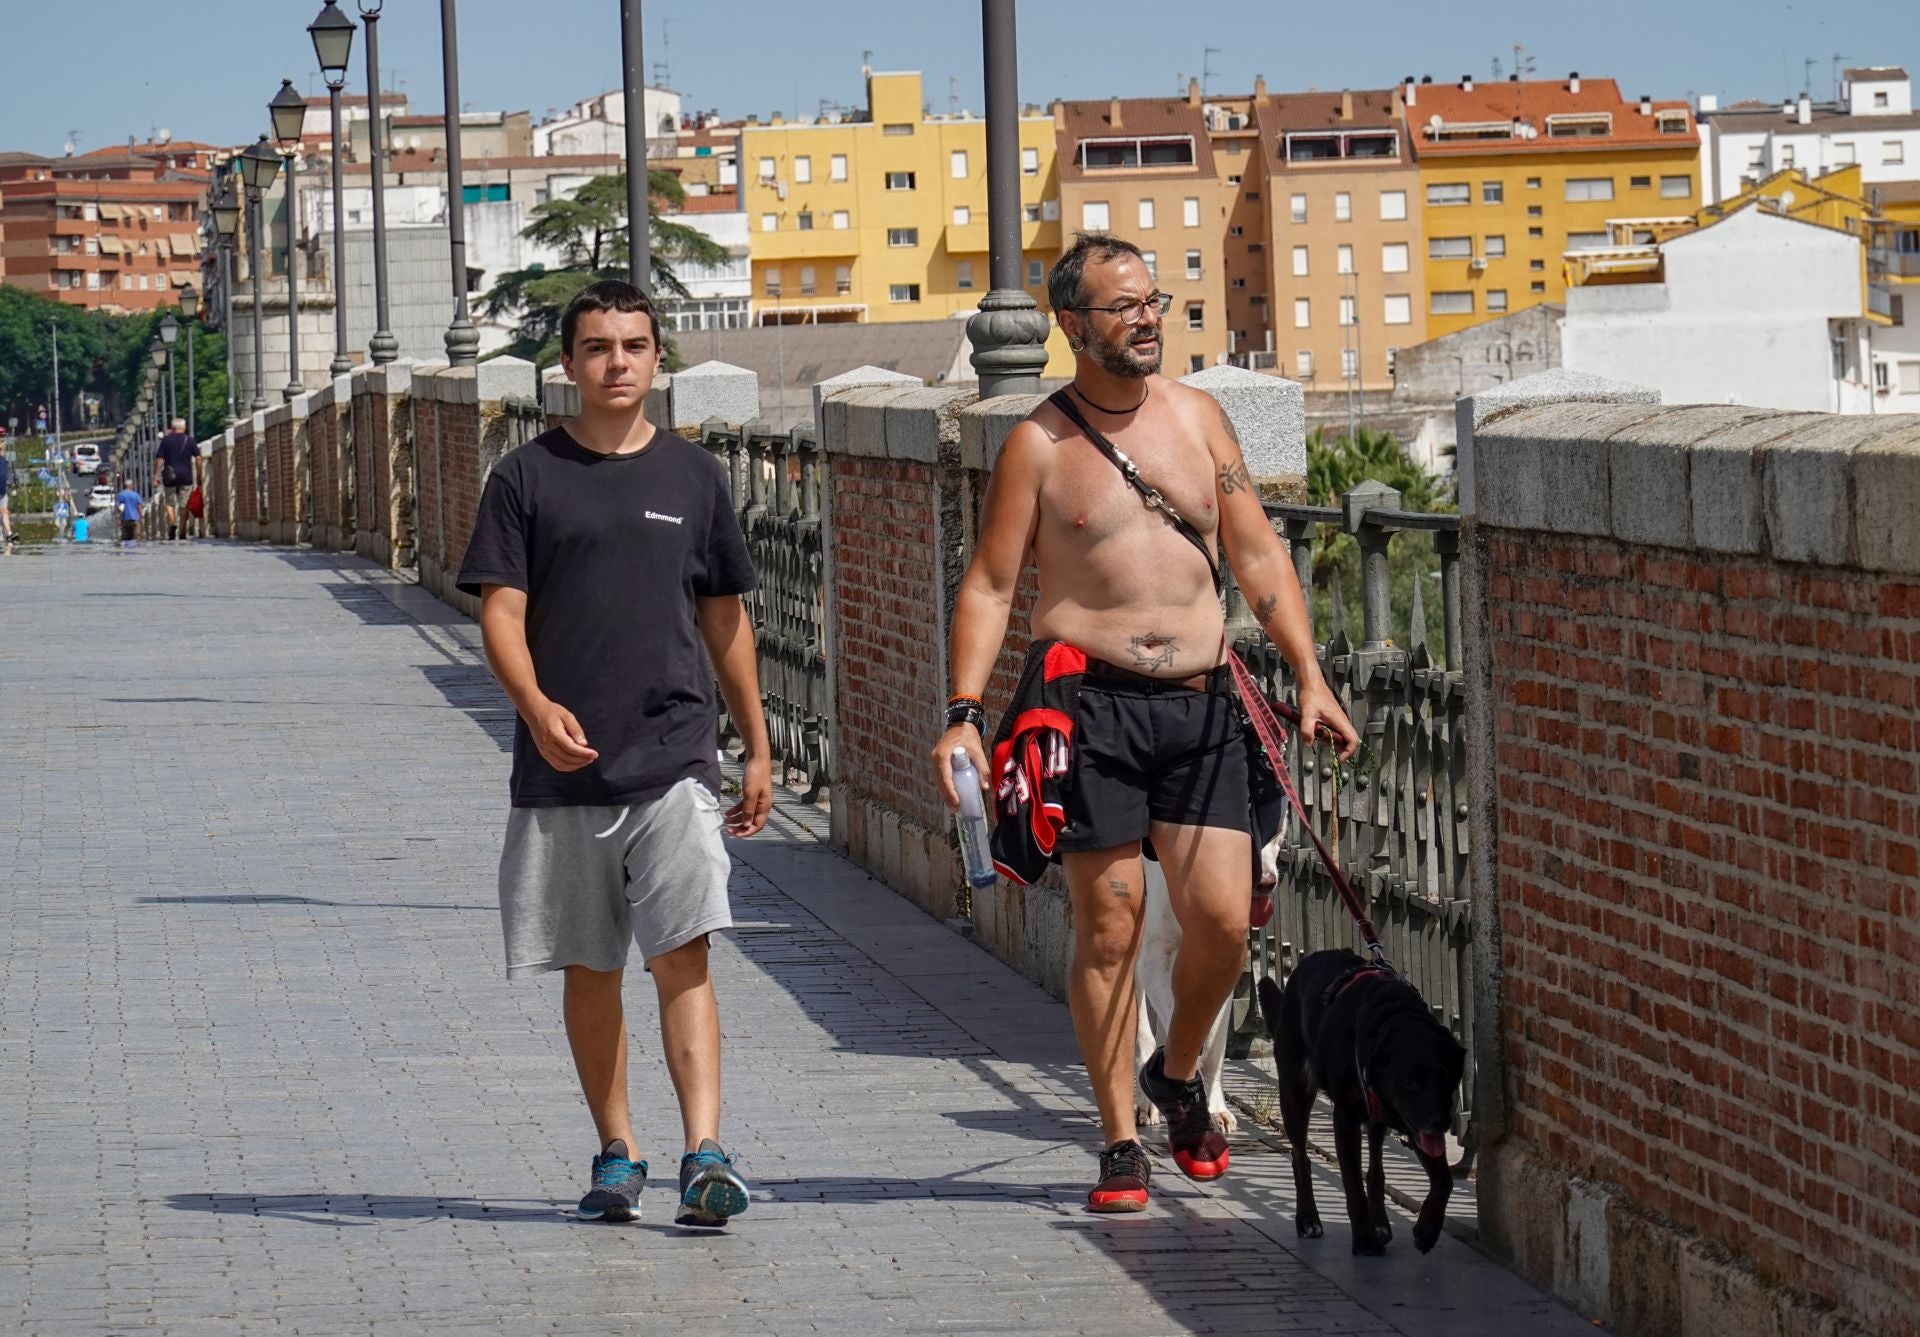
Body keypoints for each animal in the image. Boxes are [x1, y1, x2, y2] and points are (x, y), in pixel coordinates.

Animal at [1259, 948, 1466, 1252]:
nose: (1440, 1122)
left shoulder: (1414, 1122)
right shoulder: (1346, 1118)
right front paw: (1365, 1241)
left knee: (1376, 1170)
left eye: (1448, 1077)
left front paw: (1427, 1230)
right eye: (1409, 1083)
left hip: (1378, 1119)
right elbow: (1353, 1184)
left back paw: (1380, 1223)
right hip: (1295, 1093)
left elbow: (1443, 1180)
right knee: (1300, 1157)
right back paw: (1308, 1219)